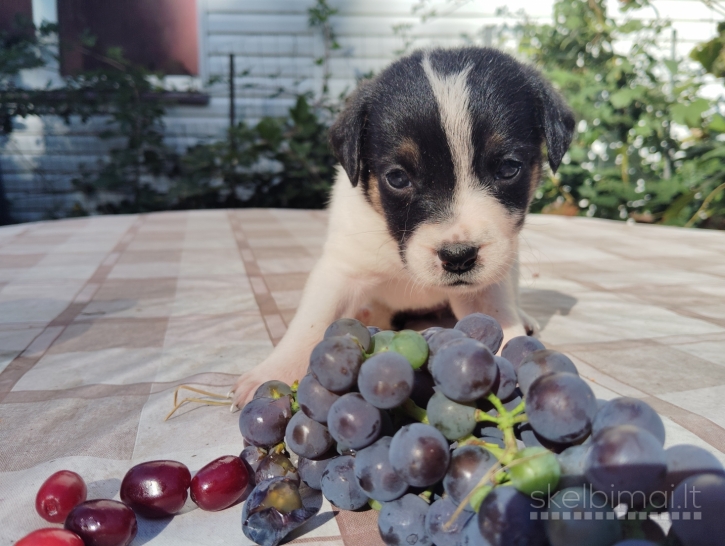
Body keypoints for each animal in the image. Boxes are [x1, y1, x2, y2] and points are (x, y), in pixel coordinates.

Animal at [230, 47, 572, 408]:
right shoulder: (342, 268)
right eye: (397, 178)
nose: (458, 257)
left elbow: (499, 319)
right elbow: (310, 323)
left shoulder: (486, 287)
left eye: (508, 168)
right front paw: (272, 372)